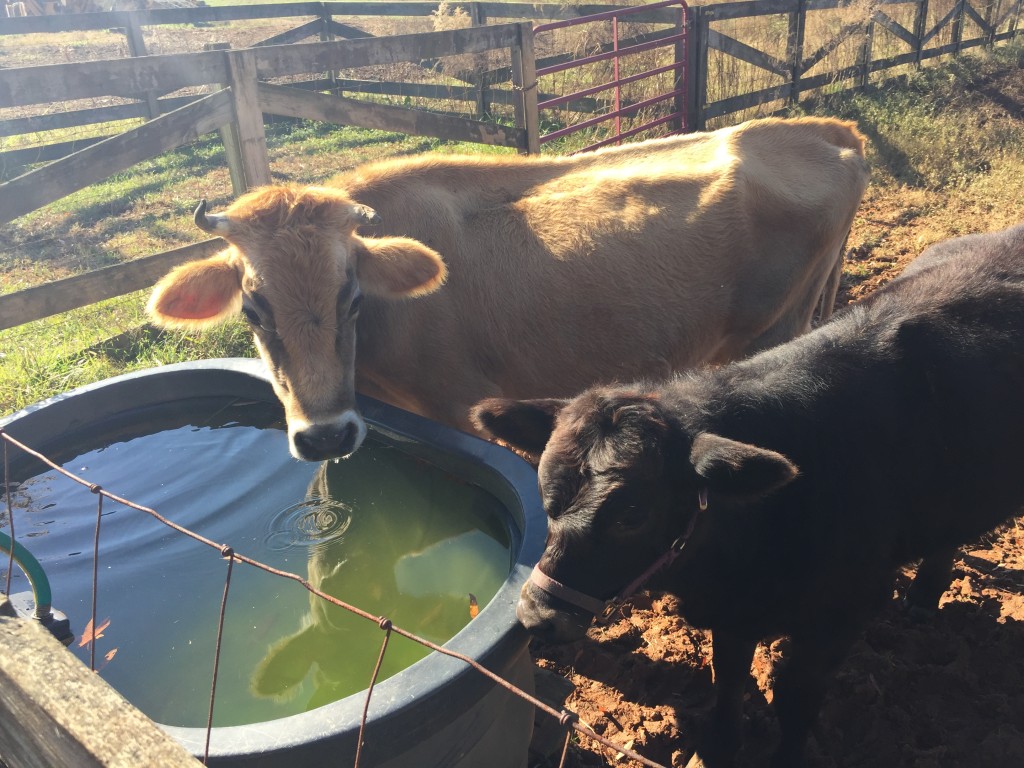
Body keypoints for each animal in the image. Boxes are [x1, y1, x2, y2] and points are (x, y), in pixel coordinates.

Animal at [146, 117, 864, 460]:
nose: (324, 438)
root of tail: (823, 128)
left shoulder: (459, 403)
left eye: (352, 298)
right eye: (252, 308)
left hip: (773, 329)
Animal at [468, 224, 1024, 768]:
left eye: (632, 515)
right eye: (546, 496)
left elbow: (796, 699)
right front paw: (719, 744)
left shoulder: (840, 615)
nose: (536, 616)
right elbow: (730, 675)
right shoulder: (732, 617)